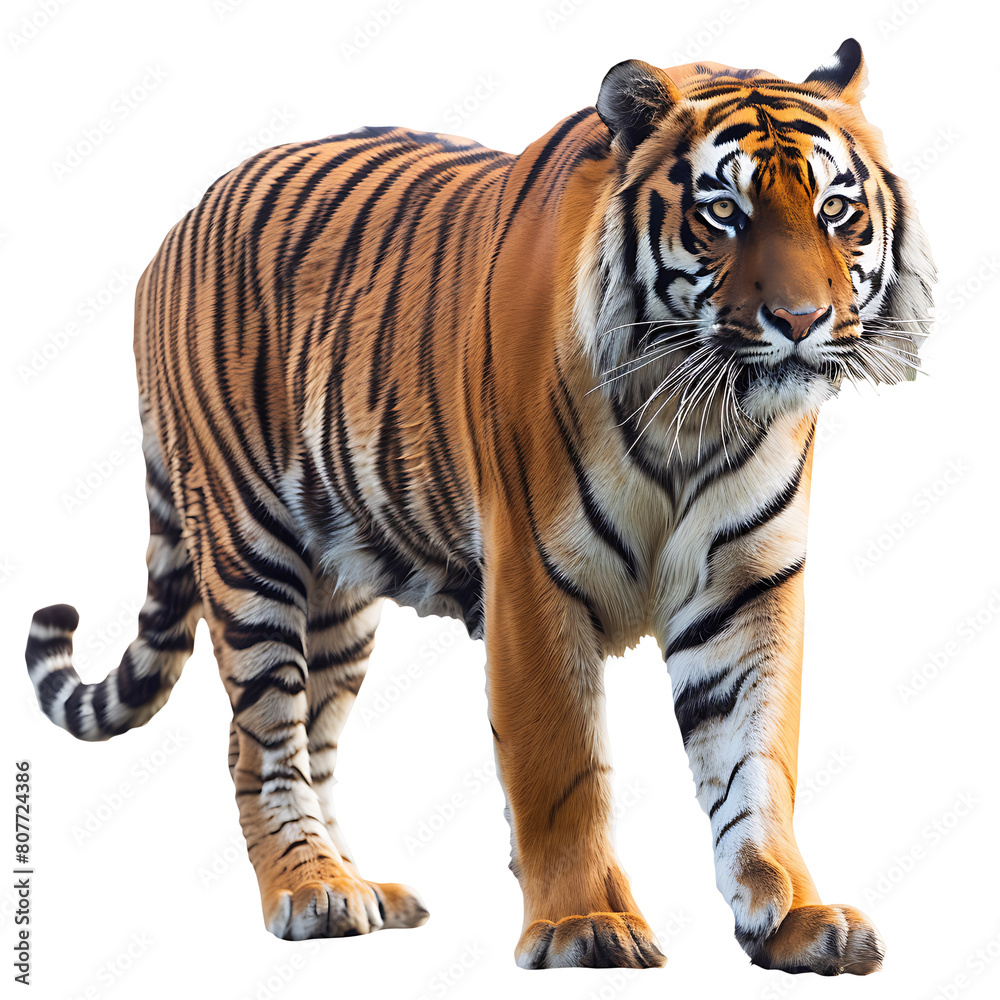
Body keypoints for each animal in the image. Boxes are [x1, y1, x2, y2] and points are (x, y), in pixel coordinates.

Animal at [25, 37, 933, 974]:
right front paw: (583, 925)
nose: (802, 319)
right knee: (259, 738)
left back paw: (360, 888)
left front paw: (794, 913)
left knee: (314, 733)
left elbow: (757, 760)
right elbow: (560, 765)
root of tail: (179, 223)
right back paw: (310, 891)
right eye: (724, 211)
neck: (698, 413)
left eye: (835, 209)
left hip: (338, 594)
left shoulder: (748, 583)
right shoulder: (533, 576)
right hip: (247, 548)